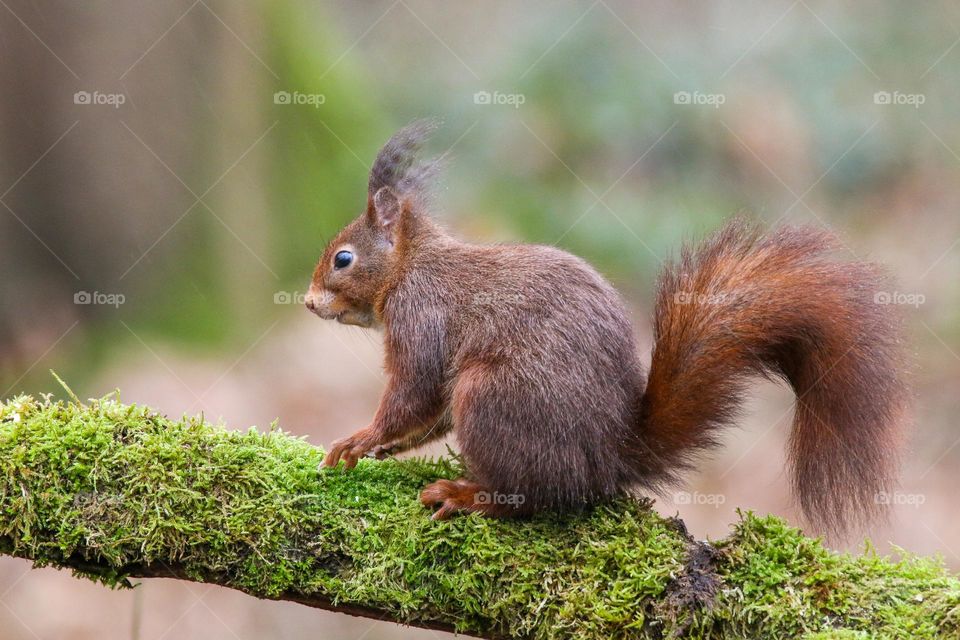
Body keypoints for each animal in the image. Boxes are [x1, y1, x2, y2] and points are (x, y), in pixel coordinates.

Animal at [306, 120, 907, 534]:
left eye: (343, 259)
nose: (309, 303)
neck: (412, 266)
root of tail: (606, 462)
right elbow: (429, 416)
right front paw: (386, 449)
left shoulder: (421, 318)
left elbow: (413, 393)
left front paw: (362, 438)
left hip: (490, 395)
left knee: (530, 498)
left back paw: (465, 494)